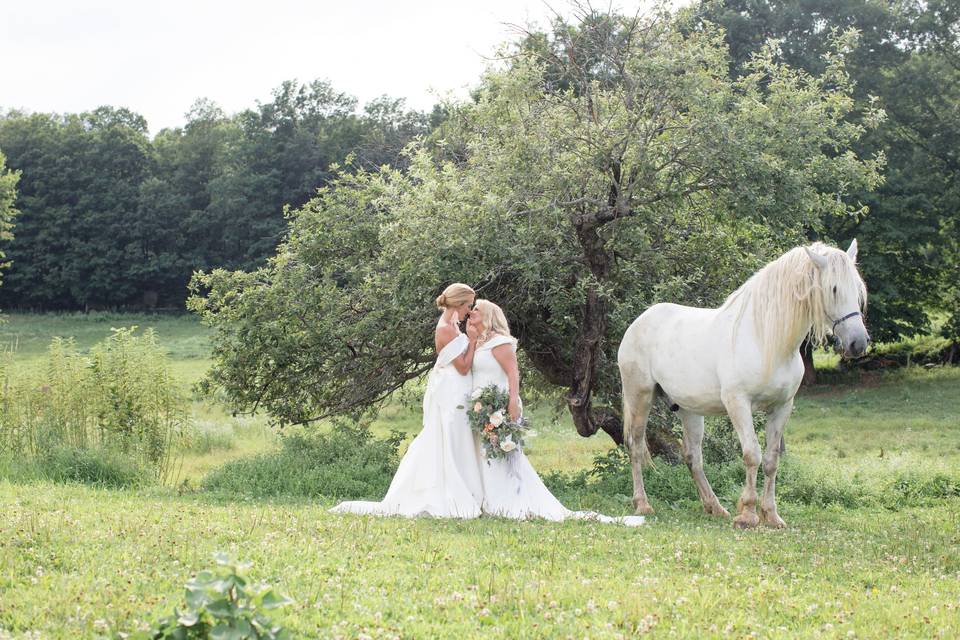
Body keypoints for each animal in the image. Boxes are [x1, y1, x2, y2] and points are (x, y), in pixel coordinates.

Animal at [620, 238, 868, 528]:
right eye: (834, 288)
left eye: (858, 288)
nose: (858, 343)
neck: (765, 338)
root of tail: (639, 323)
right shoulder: (738, 404)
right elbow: (752, 454)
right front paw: (748, 514)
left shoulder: (783, 407)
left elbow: (771, 460)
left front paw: (771, 515)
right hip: (640, 397)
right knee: (636, 447)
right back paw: (643, 504)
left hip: (689, 410)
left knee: (692, 456)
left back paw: (715, 507)